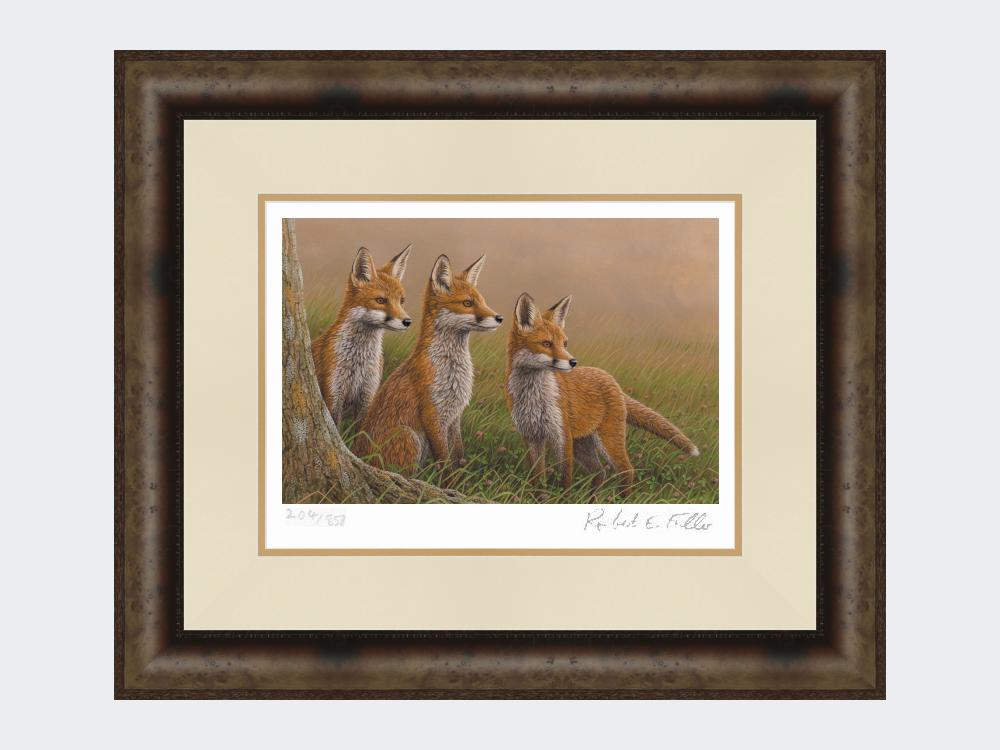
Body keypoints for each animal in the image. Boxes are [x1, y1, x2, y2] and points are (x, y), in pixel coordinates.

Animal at [311, 244, 412, 425]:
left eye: (401, 301)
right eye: (381, 300)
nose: (407, 321)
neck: (359, 362)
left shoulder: (367, 396)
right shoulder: (333, 393)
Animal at [356, 254, 503, 472]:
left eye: (482, 301)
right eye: (467, 303)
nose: (499, 318)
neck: (451, 369)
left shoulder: (454, 416)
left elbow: (458, 456)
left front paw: (460, 479)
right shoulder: (432, 413)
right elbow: (444, 461)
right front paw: (448, 481)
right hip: (408, 436)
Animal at [505, 292, 699, 493]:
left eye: (565, 343)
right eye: (546, 343)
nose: (573, 362)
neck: (533, 396)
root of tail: (610, 379)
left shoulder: (561, 436)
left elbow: (565, 479)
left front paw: (563, 497)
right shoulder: (531, 436)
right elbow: (537, 479)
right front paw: (539, 496)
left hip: (608, 441)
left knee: (626, 471)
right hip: (582, 445)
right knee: (600, 473)